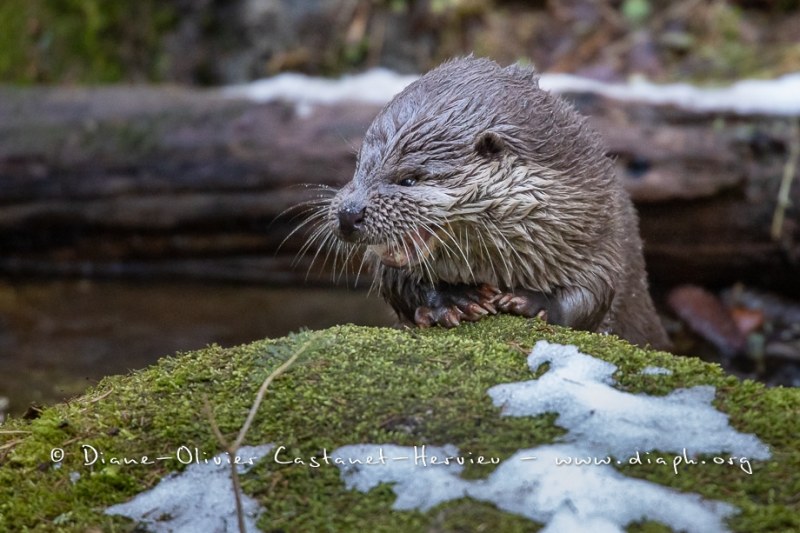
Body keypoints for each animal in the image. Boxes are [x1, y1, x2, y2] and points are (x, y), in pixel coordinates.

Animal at [312, 55, 668, 350]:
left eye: (409, 179)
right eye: (359, 166)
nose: (348, 213)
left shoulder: (601, 225)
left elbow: (596, 290)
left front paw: (537, 303)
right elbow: (396, 281)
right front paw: (454, 300)